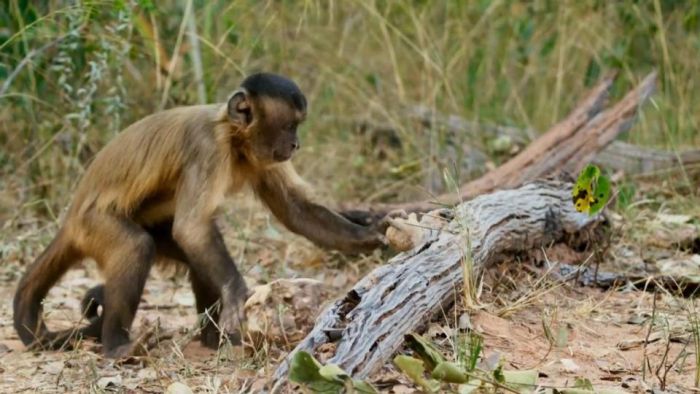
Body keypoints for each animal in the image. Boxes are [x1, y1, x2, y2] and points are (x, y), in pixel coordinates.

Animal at [13, 72, 392, 358]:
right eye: (289, 127)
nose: (296, 144)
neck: (232, 134)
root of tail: (70, 220)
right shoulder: (207, 147)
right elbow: (193, 227)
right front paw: (237, 292)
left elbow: (297, 212)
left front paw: (373, 235)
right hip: (93, 226)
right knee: (137, 246)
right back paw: (118, 347)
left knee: (193, 252)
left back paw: (212, 340)